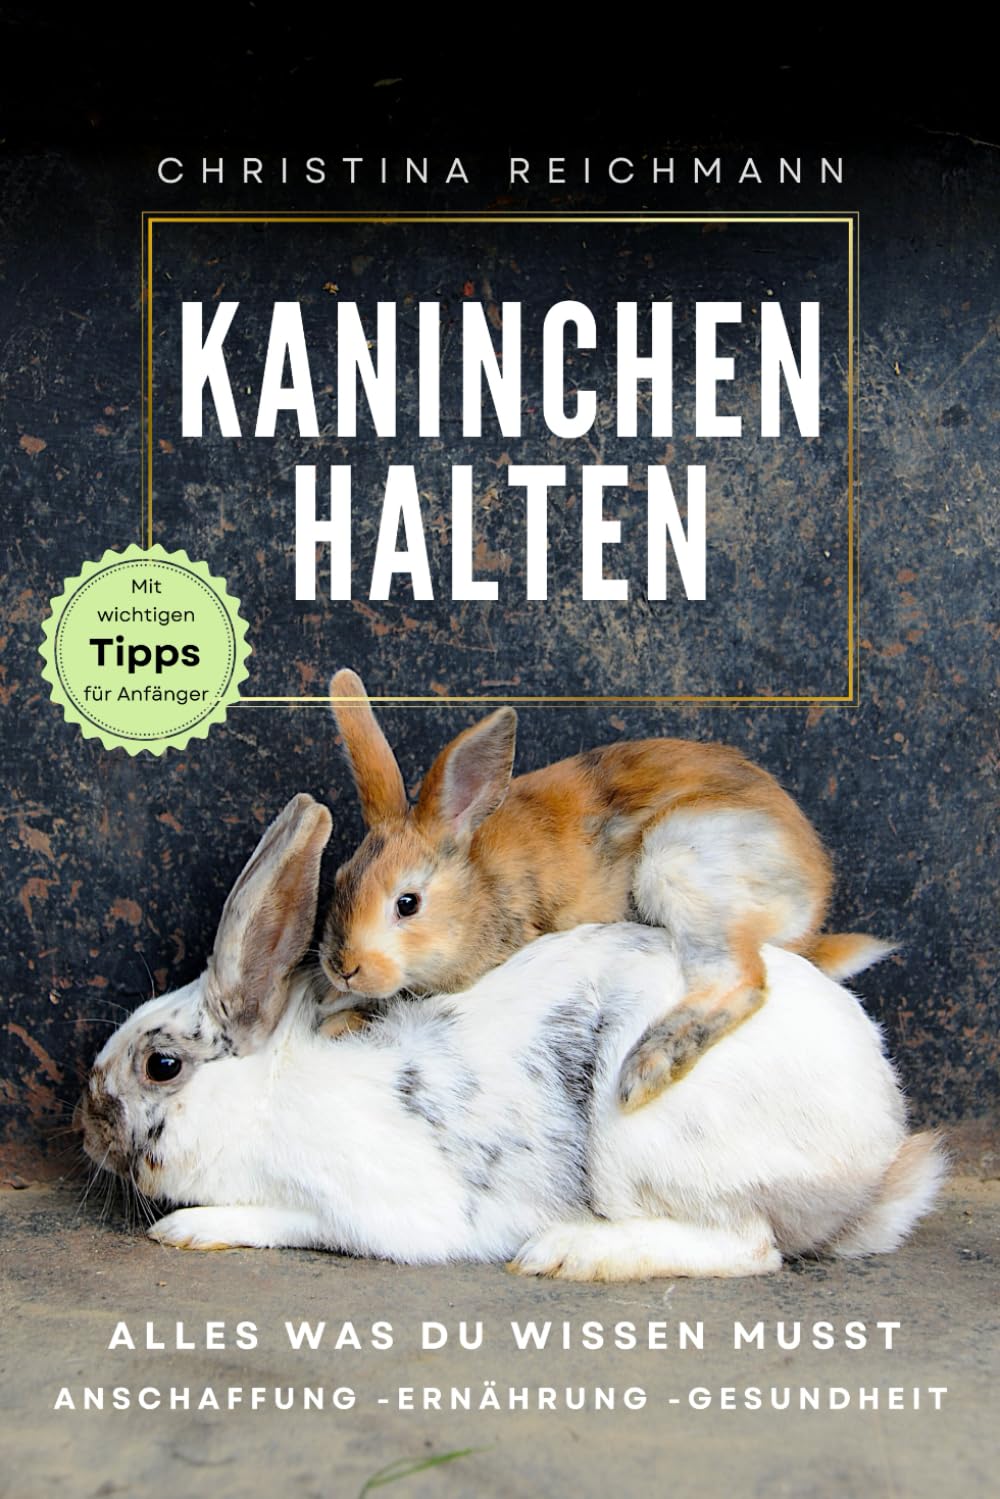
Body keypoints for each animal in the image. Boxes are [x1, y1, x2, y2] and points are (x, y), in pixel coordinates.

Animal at [77, 794, 943, 1280]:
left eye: (161, 1064)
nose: (85, 1124)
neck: (263, 1092)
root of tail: (874, 1160)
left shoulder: (367, 1204)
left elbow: (283, 1219)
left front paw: (188, 1228)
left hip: (648, 1146)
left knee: (750, 1246)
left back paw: (569, 1253)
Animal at [320, 670, 892, 1111]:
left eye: (407, 904)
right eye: (341, 878)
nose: (342, 967)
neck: (477, 885)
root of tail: (809, 895)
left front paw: (339, 1021)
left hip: (680, 865)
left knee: (741, 980)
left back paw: (648, 1068)